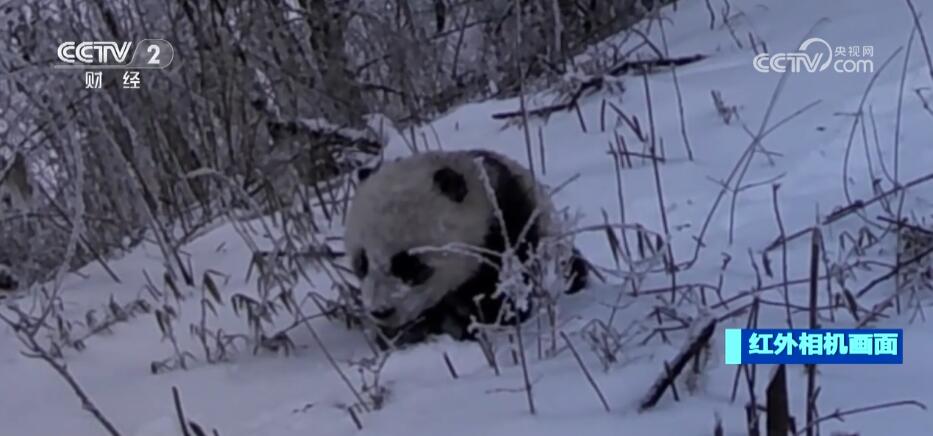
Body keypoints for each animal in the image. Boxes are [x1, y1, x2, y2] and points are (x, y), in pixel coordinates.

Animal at [342, 148, 588, 346]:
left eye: (409, 264)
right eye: (361, 263)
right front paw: (402, 334)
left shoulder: (508, 227)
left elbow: (503, 292)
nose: (381, 312)